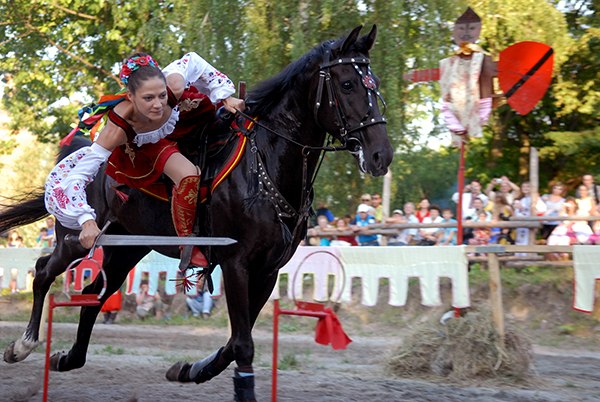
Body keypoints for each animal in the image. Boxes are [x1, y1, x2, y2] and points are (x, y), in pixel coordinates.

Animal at [1, 25, 394, 402]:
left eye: (374, 84)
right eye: (347, 84)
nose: (381, 155)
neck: (263, 164)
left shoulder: (267, 270)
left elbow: (235, 342)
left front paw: (190, 369)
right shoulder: (237, 263)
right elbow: (243, 344)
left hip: (126, 248)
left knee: (95, 293)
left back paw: (68, 357)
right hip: (79, 239)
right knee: (43, 271)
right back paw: (23, 345)